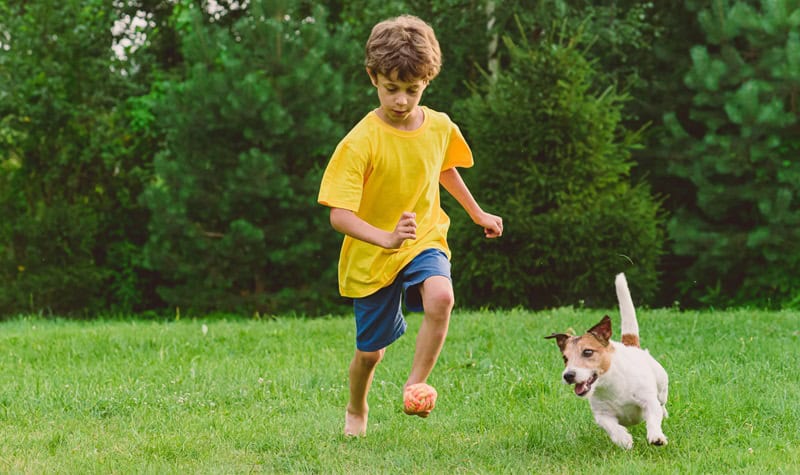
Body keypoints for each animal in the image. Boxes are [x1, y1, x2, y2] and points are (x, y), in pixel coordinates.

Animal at [544, 274, 668, 448]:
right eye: (565, 358)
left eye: (587, 352)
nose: (568, 375)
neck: (611, 384)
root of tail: (630, 345)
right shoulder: (601, 414)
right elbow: (610, 426)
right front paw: (623, 439)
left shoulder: (648, 401)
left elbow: (653, 416)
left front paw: (656, 436)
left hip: (662, 384)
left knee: (661, 403)